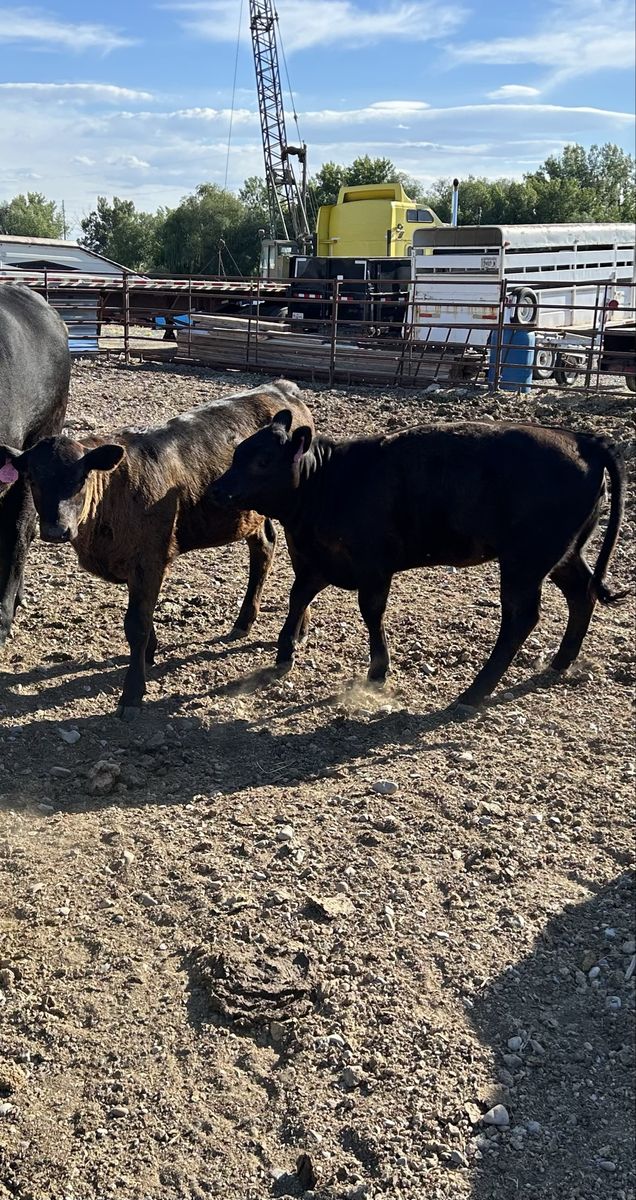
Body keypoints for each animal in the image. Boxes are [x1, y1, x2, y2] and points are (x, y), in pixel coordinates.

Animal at [0, 380, 314, 719]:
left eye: (81, 477)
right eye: (33, 478)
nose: (57, 530)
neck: (114, 491)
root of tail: (281, 388)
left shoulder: (150, 559)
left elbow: (136, 624)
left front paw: (132, 692)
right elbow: (144, 618)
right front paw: (150, 653)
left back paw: (296, 630)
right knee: (264, 547)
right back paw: (247, 621)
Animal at [213, 412, 626, 707]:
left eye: (263, 460)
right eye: (238, 453)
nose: (217, 489)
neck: (327, 483)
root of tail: (583, 440)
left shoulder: (373, 567)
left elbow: (370, 611)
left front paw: (378, 670)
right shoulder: (317, 561)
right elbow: (298, 597)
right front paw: (285, 651)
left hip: (524, 562)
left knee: (521, 617)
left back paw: (474, 693)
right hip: (562, 555)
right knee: (581, 594)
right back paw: (560, 661)